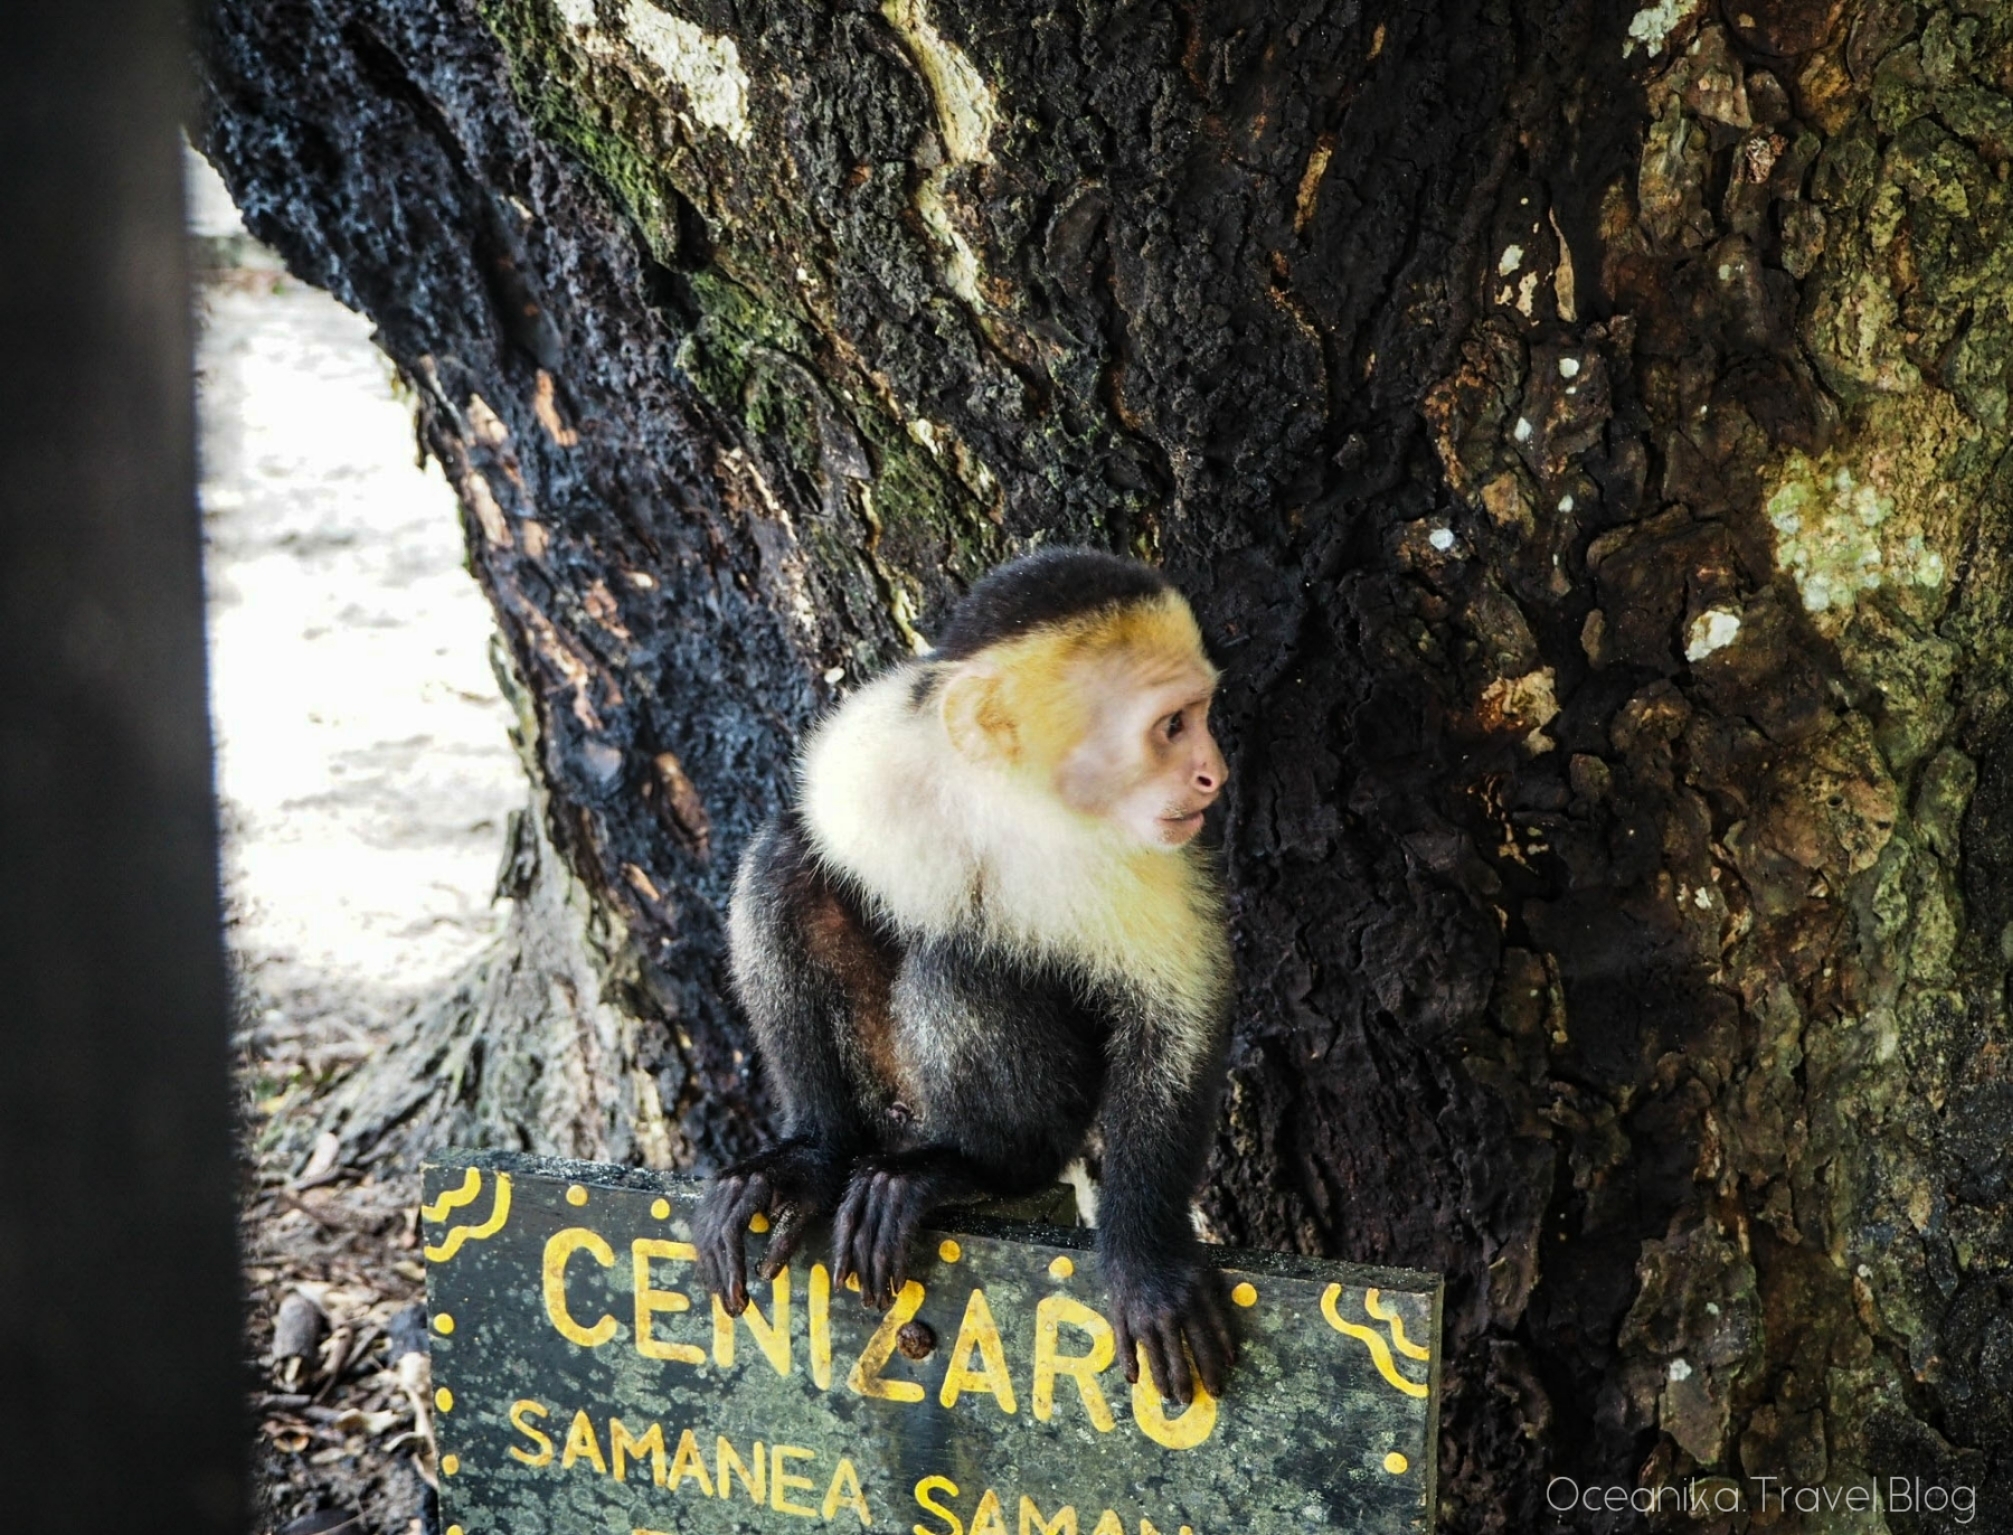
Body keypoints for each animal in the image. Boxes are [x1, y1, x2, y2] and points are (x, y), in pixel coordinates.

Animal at [695, 546, 1237, 1404]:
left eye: (1200, 713)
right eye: (1171, 727)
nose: (1211, 775)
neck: (1010, 797)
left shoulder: (1154, 853)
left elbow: (1175, 1018)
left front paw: (1147, 1255)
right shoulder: (876, 744)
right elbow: (805, 849)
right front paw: (811, 1153)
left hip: (1050, 1122)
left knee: (961, 963)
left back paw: (980, 1169)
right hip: (891, 1095)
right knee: (793, 866)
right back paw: (830, 1150)